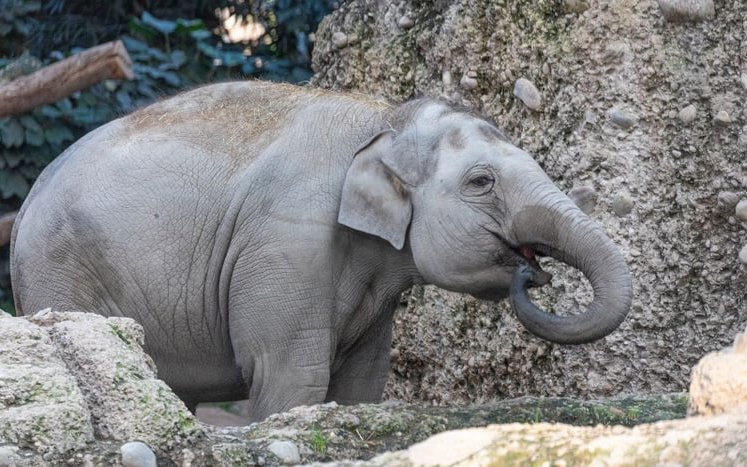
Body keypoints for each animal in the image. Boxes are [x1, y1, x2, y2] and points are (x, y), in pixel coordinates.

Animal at [8, 80, 636, 420]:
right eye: (481, 182)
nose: (533, 270)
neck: (381, 117)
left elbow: (362, 385)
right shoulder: (287, 242)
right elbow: (291, 376)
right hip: (60, 271)